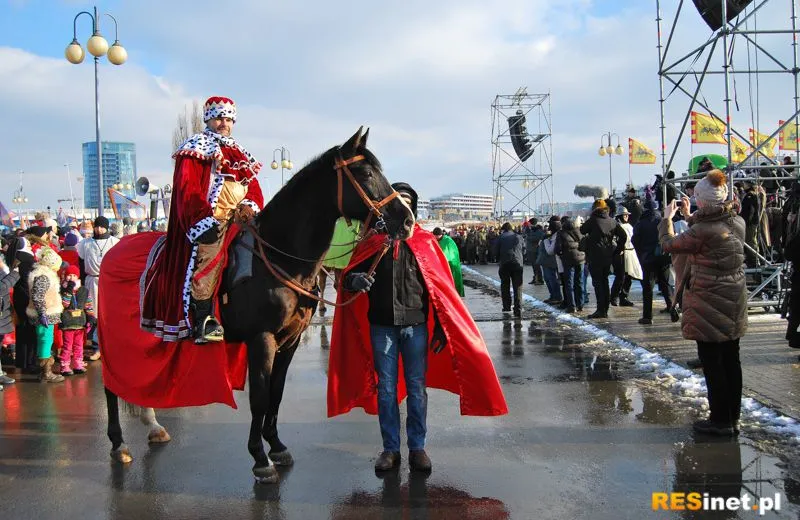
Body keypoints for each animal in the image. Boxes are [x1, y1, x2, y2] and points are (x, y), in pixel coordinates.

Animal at [104, 129, 412, 484]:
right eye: (365, 173)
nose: (406, 221)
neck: (280, 256)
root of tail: (113, 249)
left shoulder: (290, 339)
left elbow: (276, 392)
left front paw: (276, 445)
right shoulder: (261, 339)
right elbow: (260, 397)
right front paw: (260, 458)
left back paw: (153, 426)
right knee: (112, 385)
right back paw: (118, 443)